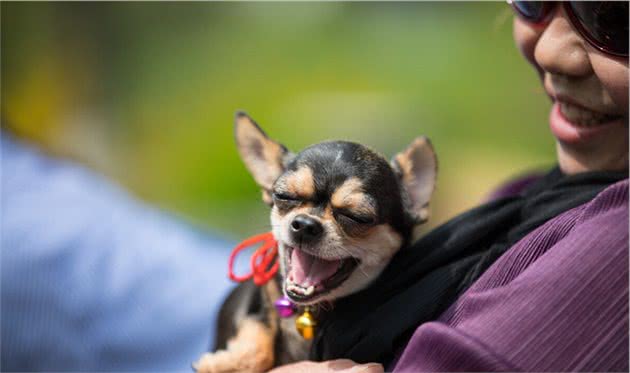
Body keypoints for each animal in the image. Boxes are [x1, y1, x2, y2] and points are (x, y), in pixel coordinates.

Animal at [195, 112, 436, 370]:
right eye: (284, 196)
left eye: (357, 217)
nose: (305, 225)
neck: (309, 309)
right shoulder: (258, 296)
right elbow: (260, 327)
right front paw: (230, 362)